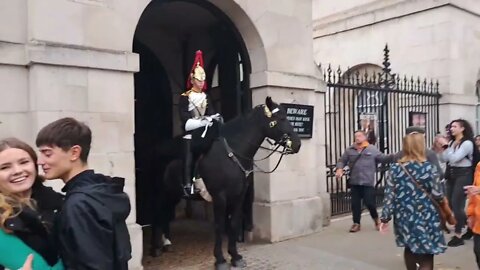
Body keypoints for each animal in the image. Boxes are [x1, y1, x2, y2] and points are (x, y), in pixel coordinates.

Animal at [152, 96, 300, 268]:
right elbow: (219, 225)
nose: (297, 144)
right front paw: (220, 260)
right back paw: (155, 248)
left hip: (173, 194)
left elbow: (234, 224)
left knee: (165, 214)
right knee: (158, 213)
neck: (233, 152)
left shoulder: (238, 196)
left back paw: (166, 243)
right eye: (280, 118)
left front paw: (235, 256)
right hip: (162, 192)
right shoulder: (220, 197)